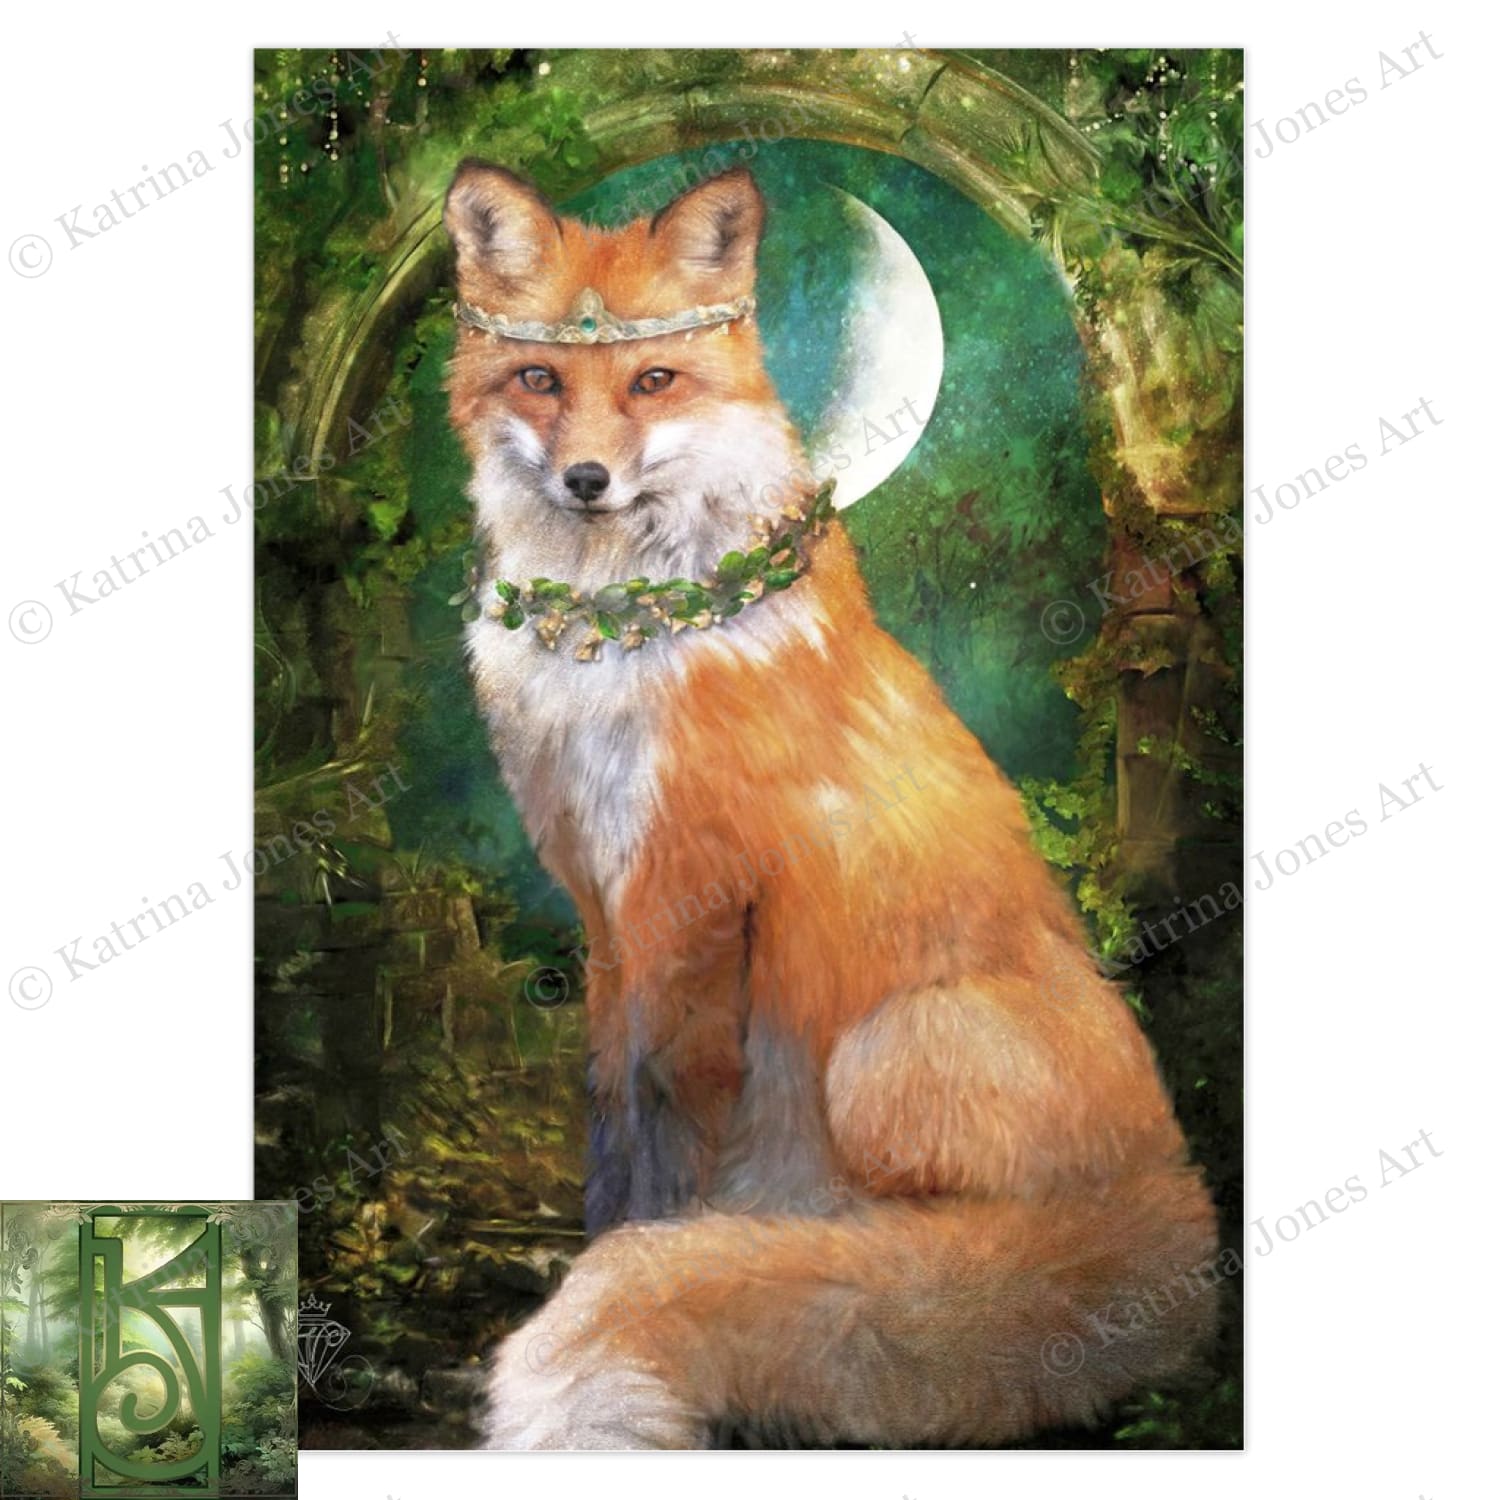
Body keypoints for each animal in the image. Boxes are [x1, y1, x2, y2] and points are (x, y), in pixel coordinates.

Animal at [442, 158, 1220, 1449]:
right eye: (540, 378)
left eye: (653, 380)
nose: (587, 480)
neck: (618, 628)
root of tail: (1179, 1210)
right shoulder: (600, 901)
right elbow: (607, 1100)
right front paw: (599, 1238)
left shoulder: (691, 895)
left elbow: (664, 1118)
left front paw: (643, 1243)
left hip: (882, 1051)